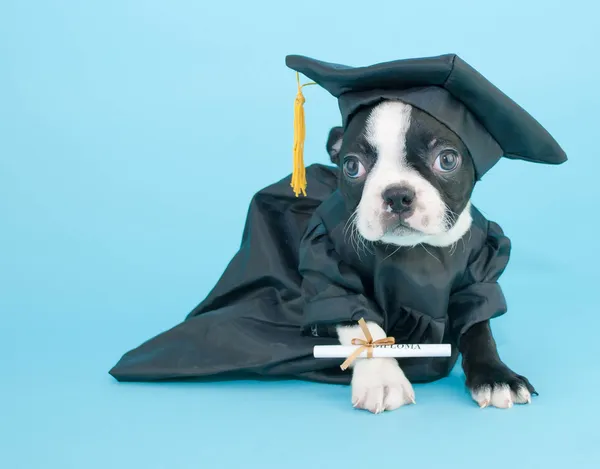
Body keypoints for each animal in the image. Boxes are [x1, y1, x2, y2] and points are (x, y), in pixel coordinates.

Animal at [326, 99, 536, 414]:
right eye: (352, 166)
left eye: (447, 160)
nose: (397, 195)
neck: (415, 249)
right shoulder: (332, 270)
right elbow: (363, 326)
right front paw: (382, 380)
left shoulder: (478, 274)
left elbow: (478, 327)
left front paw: (496, 376)